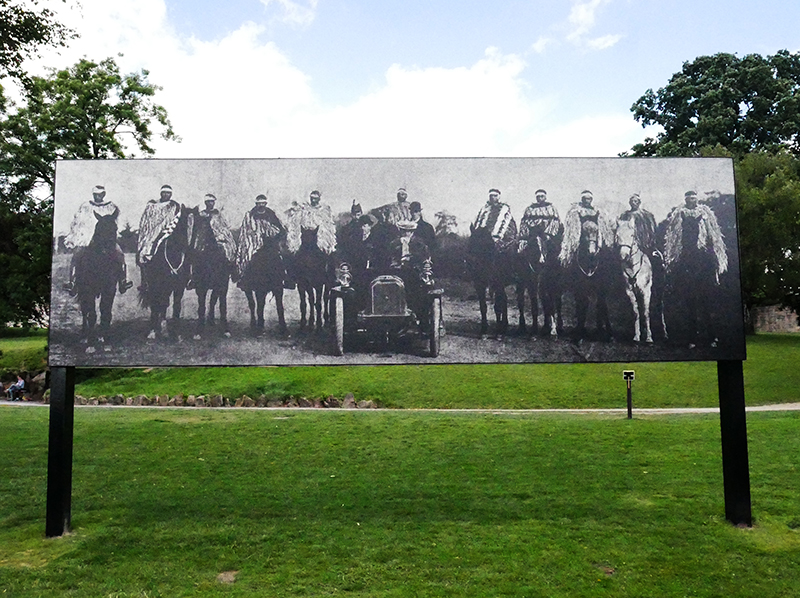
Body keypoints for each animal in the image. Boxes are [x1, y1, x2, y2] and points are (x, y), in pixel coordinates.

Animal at [75, 213, 123, 352]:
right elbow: (91, 314)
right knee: (84, 311)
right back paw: (84, 336)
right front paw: (91, 344)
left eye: (115, 228)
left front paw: (106, 341)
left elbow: (106, 313)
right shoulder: (88, 290)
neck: (101, 263)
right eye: (98, 228)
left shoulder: (110, 289)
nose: (107, 250)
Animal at [138, 207, 191, 340]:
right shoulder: (158, 285)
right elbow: (156, 304)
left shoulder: (178, 287)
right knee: (157, 302)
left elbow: (176, 306)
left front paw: (176, 334)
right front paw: (153, 331)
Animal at [188, 212, 233, 340]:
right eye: (195, 229)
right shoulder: (200, 288)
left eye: (207, 229)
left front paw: (226, 330)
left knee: (213, 300)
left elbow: (222, 306)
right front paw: (198, 331)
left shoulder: (222, 286)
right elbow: (201, 307)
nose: (195, 251)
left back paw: (212, 320)